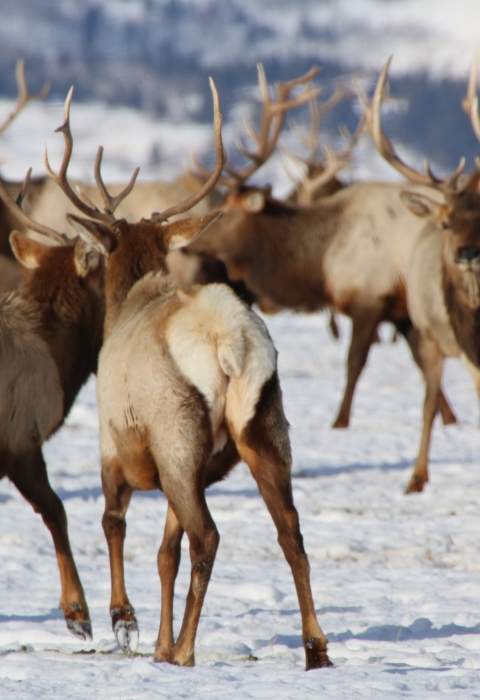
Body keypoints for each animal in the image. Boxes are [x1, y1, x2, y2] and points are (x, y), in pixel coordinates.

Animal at [51, 79, 332, 670]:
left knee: (209, 537)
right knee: (291, 535)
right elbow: (165, 553)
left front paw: (126, 624)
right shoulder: (195, 467)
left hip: (177, 432)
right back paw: (315, 648)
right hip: (263, 428)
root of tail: (231, 343)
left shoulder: (113, 441)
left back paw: (185, 651)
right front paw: (156, 643)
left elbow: (115, 524)